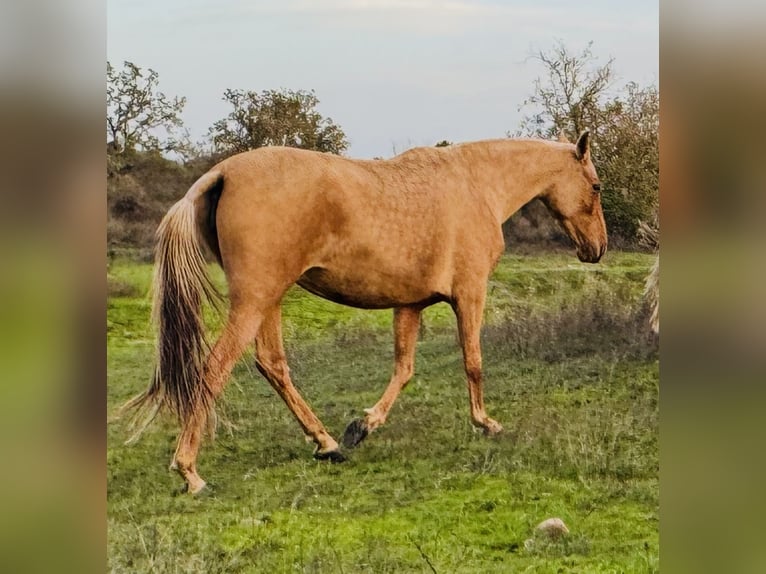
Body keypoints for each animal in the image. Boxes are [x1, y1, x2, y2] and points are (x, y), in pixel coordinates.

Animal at [124, 130, 608, 496]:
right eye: (597, 186)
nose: (597, 248)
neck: (476, 184)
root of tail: (222, 173)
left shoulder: (409, 304)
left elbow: (404, 368)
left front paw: (363, 426)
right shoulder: (470, 294)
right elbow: (473, 362)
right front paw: (485, 423)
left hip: (268, 301)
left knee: (272, 365)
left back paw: (328, 444)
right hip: (254, 302)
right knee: (215, 368)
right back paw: (190, 472)